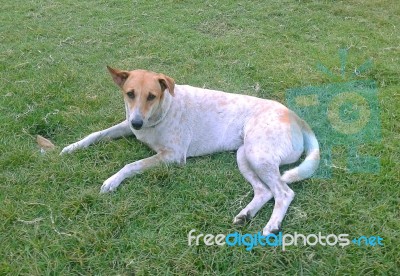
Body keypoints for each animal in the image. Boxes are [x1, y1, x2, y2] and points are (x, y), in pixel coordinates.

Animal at [61, 67, 320, 235]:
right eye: (130, 94)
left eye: (151, 96)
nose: (137, 123)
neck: (161, 112)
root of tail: (296, 117)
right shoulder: (127, 125)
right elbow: (96, 134)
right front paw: (71, 147)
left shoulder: (172, 156)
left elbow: (131, 165)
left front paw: (112, 180)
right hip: (244, 155)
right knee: (264, 191)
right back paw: (245, 215)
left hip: (259, 155)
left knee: (284, 192)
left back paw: (272, 226)